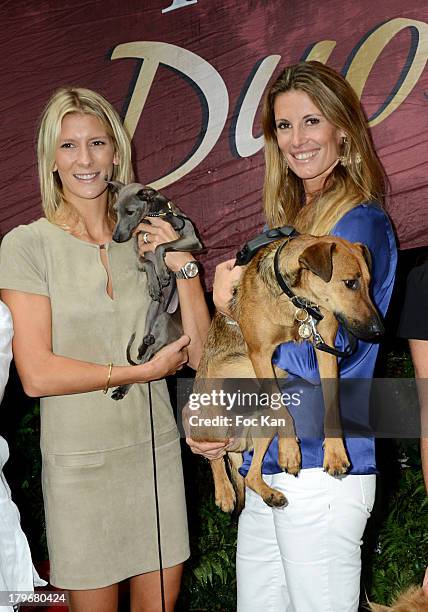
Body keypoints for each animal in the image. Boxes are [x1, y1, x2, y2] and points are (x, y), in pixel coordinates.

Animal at [189, 233, 382, 512]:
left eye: (370, 283)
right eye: (350, 283)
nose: (379, 331)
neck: (296, 301)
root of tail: (238, 443)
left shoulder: (326, 349)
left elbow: (331, 404)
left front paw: (336, 451)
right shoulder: (260, 353)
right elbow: (281, 406)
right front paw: (290, 449)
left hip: (263, 427)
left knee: (250, 475)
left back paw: (270, 494)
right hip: (213, 420)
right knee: (215, 457)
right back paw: (224, 492)